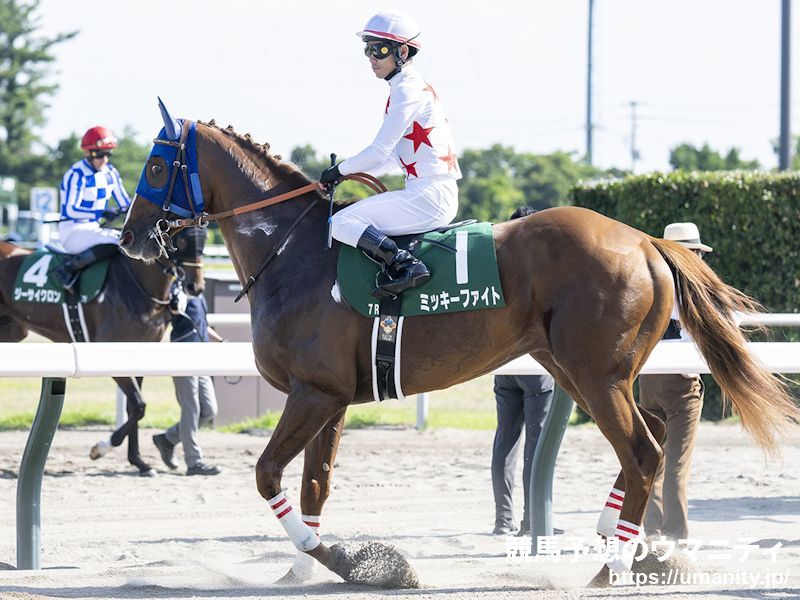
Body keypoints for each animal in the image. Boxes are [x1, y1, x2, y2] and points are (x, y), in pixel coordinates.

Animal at [0, 231, 206, 478]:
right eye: (183, 240)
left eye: (204, 240)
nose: (195, 286)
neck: (137, 285)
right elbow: (138, 406)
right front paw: (100, 448)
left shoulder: (140, 353)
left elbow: (133, 408)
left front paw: (139, 462)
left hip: (12, 331)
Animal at [119, 116, 800, 584]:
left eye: (154, 167)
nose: (129, 238)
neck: (296, 254)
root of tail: (645, 241)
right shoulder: (331, 397)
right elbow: (314, 483)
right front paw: (306, 569)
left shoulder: (313, 394)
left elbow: (267, 474)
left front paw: (353, 564)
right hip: (579, 371)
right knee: (648, 445)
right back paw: (615, 544)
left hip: (595, 376)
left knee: (644, 452)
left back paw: (612, 567)